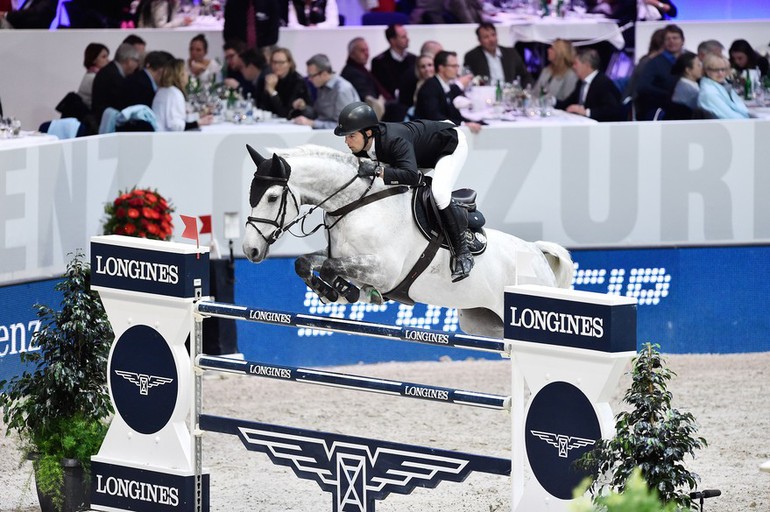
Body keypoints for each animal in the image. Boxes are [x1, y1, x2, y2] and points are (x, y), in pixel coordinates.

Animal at [240, 144, 568, 338]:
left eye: (272, 197)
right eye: (252, 195)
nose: (249, 249)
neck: (356, 203)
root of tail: (537, 253)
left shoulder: (383, 270)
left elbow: (334, 268)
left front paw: (343, 291)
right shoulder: (346, 256)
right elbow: (305, 262)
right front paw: (330, 291)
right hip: (484, 322)